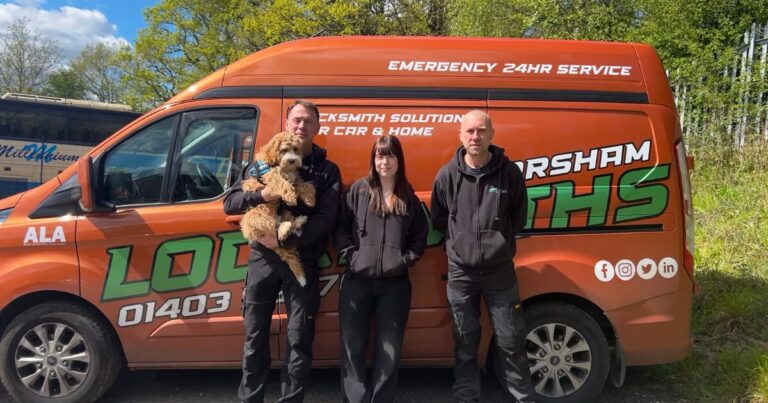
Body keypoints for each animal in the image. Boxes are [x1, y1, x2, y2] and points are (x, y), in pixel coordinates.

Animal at [238, 133, 314, 288]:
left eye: (295, 149)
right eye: (284, 150)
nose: (292, 160)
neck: (279, 164)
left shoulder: (294, 178)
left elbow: (304, 185)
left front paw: (309, 198)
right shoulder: (270, 174)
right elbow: (282, 183)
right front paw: (290, 196)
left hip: (285, 213)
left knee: (287, 226)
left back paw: (299, 221)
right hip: (253, 216)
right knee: (273, 229)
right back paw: (284, 228)